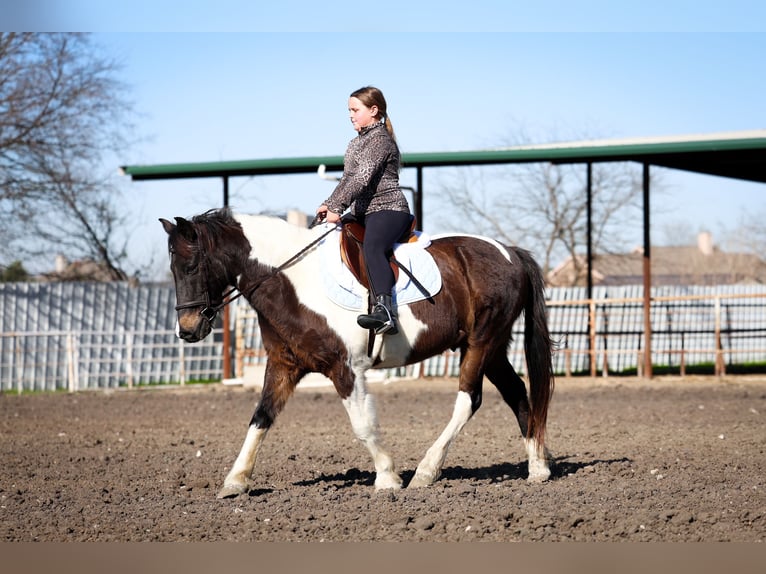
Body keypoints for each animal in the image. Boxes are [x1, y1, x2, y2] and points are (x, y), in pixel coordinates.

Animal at [160, 207, 555, 498]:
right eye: (173, 268)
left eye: (192, 266)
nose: (188, 330)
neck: (292, 281)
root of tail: (511, 253)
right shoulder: (284, 365)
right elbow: (260, 418)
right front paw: (236, 480)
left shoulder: (344, 367)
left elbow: (363, 426)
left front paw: (388, 478)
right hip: (492, 347)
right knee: (517, 393)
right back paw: (538, 467)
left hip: (481, 343)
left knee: (468, 400)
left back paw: (426, 471)